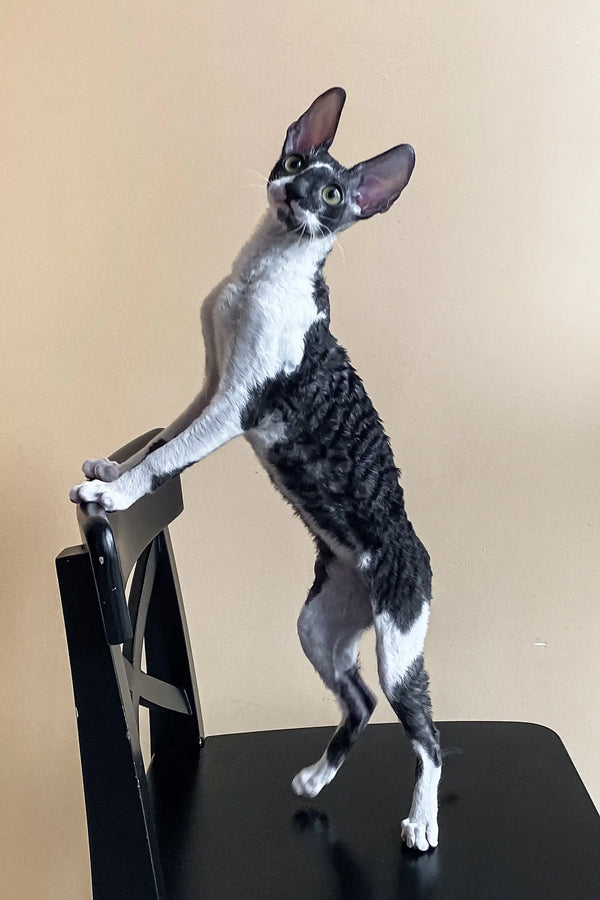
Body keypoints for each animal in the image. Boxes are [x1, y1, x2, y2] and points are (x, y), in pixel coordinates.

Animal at [72, 89, 442, 852]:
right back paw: (316, 779)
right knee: (359, 702)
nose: (296, 194)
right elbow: (163, 437)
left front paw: (115, 493)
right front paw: (112, 465)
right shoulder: (210, 384)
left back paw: (422, 817)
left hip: (399, 646)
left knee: (426, 733)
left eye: (333, 195)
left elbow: (166, 459)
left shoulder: (237, 404)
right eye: (297, 163)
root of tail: (409, 555)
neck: (261, 270)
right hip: (320, 628)